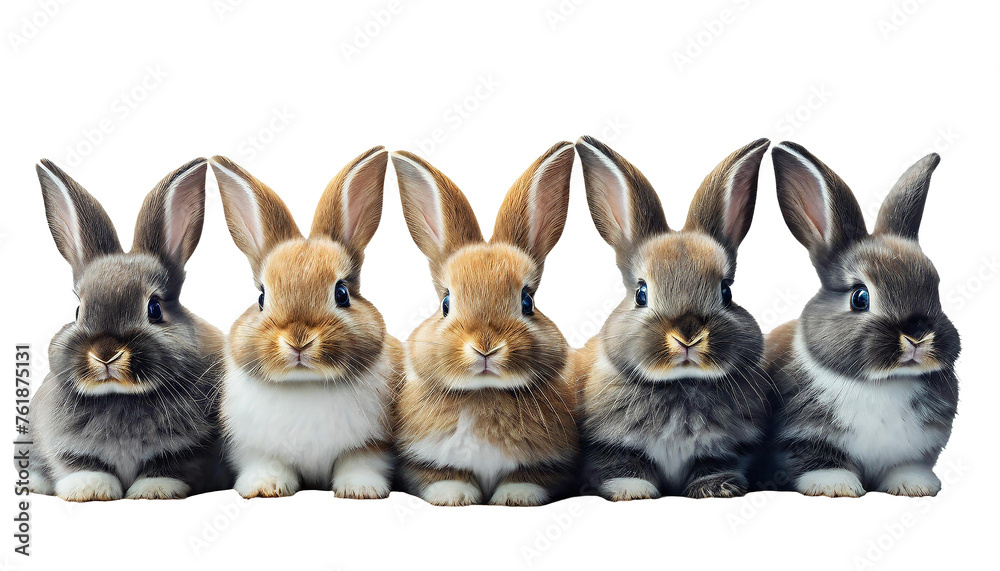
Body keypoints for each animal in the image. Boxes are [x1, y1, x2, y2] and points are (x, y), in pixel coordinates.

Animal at [27, 158, 226, 501]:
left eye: (154, 309)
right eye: (78, 311)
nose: (105, 354)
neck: (120, 395)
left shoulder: (188, 449)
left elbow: (168, 468)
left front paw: (152, 491)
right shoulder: (63, 443)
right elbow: (81, 466)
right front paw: (90, 490)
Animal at [212, 147, 403, 500]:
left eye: (342, 293)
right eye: (261, 298)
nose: (298, 340)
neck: (304, 383)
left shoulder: (373, 443)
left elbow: (360, 462)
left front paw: (361, 490)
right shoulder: (254, 446)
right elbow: (267, 463)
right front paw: (265, 487)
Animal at [390, 142, 579, 506]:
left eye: (527, 301)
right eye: (445, 304)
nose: (486, 346)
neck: (484, 393)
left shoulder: (549, 464)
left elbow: (527, 479)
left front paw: (514, 498)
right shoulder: (425, 459)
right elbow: (445, 476)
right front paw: (454, 497)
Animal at [573, 136, 774, 501]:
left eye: (726, 292)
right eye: (641, 293)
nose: (688, 335)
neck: (681, 384)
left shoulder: (729, 447)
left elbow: (714, 464)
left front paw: (717, 489)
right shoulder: (608, 446)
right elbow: (622, 466)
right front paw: (634, 492)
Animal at [765, 142, 960, 497]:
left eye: (935, 289)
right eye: (860, 297)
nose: (917, 336)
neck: (883, 383)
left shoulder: (919, 447)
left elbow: (907, 466)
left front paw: (916, 486)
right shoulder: (802, 437)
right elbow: (818, 461)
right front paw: (835, 486)